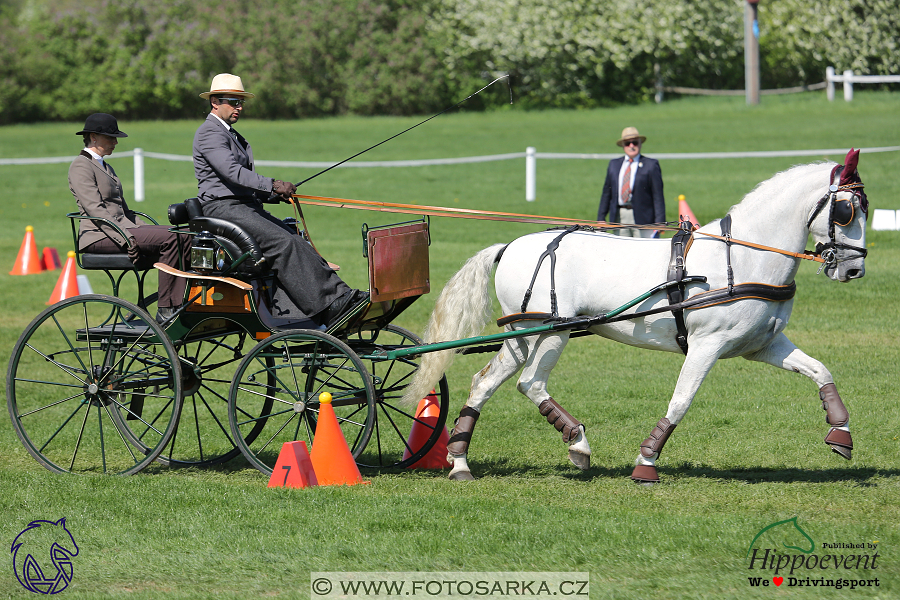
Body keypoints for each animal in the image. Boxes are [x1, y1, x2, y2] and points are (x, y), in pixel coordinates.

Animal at [404, 151, 868, 482]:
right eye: (846, 209)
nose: (853, 270)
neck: (741, 259)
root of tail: (511, 245)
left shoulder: (764, 345)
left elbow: (821, 370)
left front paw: (840, 433)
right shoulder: (707, 344)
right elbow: (681, 399)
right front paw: (647, 461)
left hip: (528, 333)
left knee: (490, 382)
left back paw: (469, 462)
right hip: (547, 332)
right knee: (526, 383)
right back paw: (569, 445)